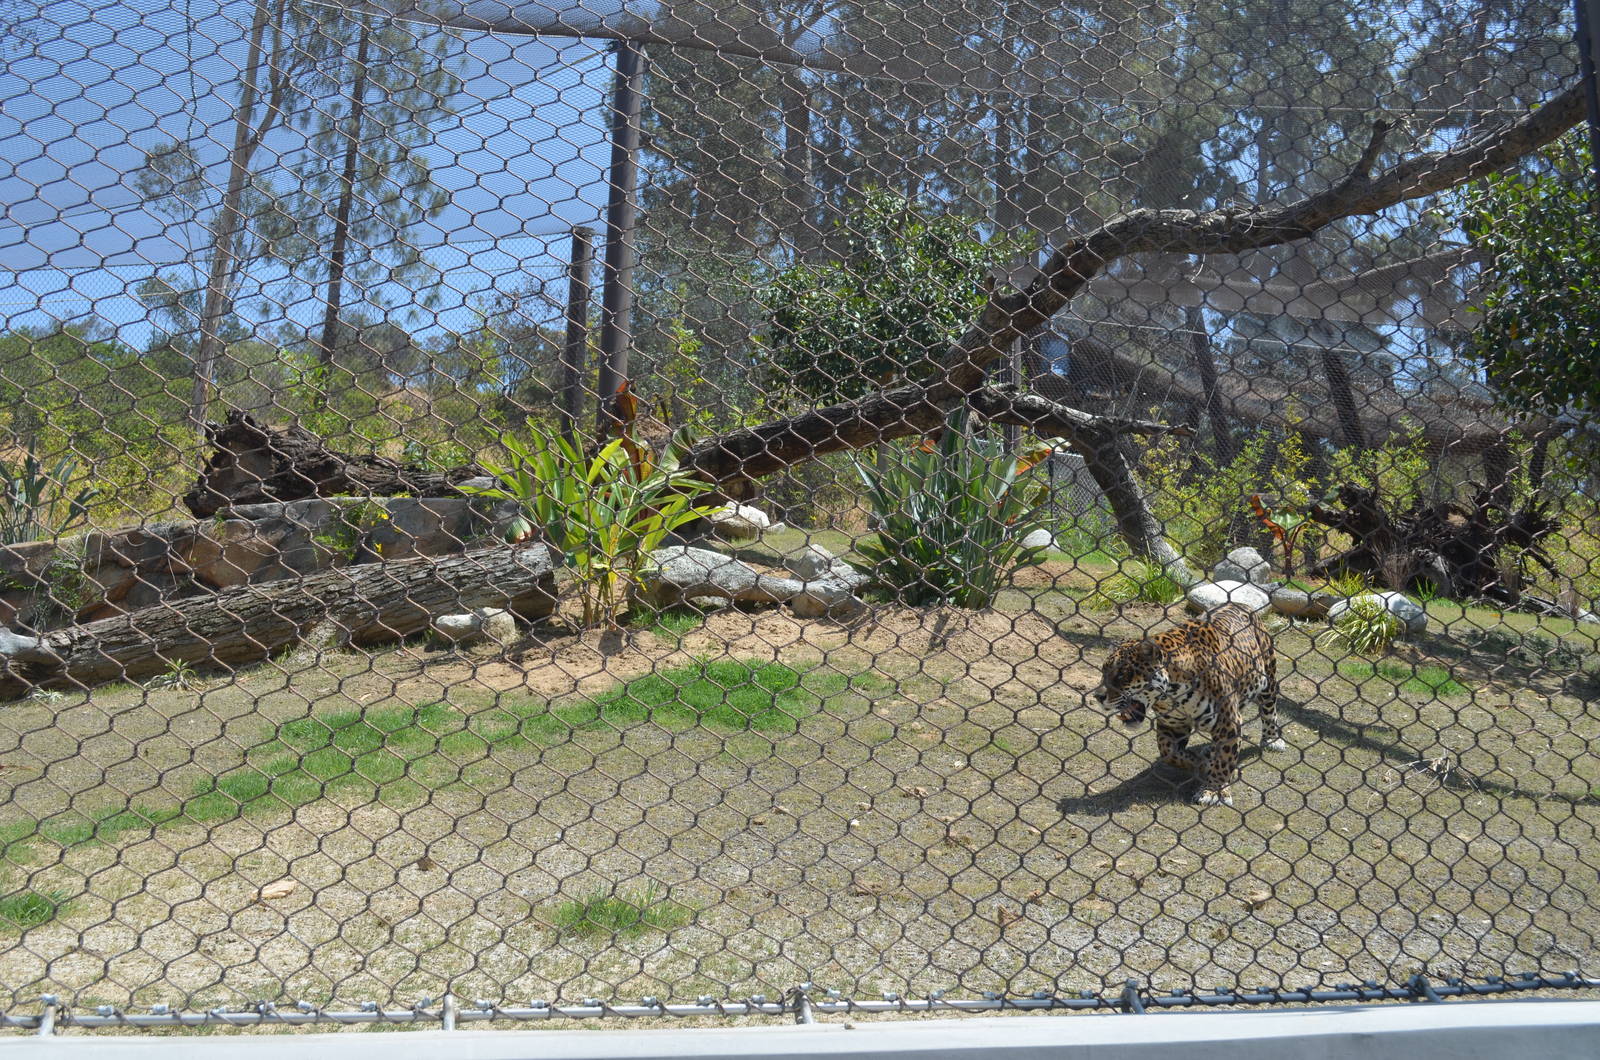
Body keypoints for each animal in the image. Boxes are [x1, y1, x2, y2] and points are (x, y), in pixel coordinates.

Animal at [1092, 602, 1286, 807]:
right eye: (1103, 671)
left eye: (1122, 674)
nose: (1098, 696)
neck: (1173, 693)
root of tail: (1240, 604)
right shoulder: (1171, 724)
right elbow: (1169, 752)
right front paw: (1202, 763)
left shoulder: (1228, 722)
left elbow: (1224, 760)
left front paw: (1213, 790)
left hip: (1268, 676)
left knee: (1269, 709)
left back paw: (1272, 739)